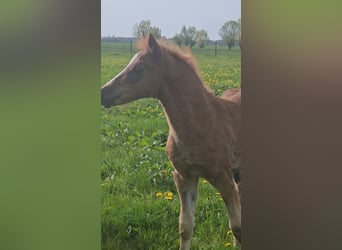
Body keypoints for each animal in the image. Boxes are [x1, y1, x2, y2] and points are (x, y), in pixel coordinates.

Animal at [101, 34, 240, 249]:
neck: (202, 122)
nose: (103, 93)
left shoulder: (223, 177)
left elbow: (236, 227)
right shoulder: (184, 176)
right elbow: (185, 227)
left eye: (138, 69)